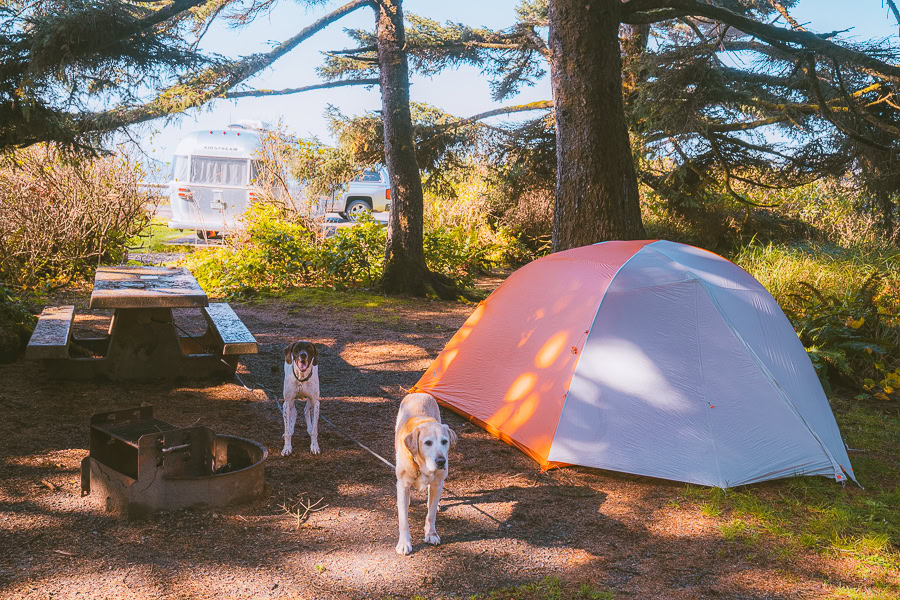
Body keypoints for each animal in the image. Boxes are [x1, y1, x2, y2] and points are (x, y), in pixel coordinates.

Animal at [394, 392, 458, 556]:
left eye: (445, 441)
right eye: (428, 443)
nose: (441, 461)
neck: (421, 465)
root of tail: (419, 393)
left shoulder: (437, 483)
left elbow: (431, 513)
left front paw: (431, 534)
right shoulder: (402, 485)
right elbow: (403, 520)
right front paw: (404, 543)